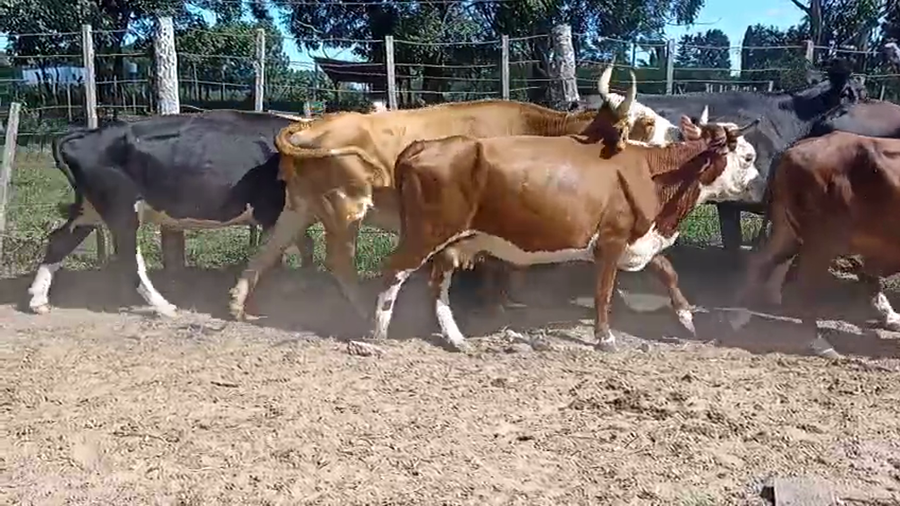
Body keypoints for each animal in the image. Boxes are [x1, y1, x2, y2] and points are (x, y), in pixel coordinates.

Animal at [26, 110, 317, 317]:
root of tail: (88, 133)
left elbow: (305, 245)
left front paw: (301, 284)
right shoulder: (274, 212)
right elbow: (274, 253)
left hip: (90, 208)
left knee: (60, 239)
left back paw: (38, 300)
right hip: (121, 208)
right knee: (129, 259)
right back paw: (165, 307)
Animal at [226, 65, 648, 320]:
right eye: (640, 124)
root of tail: (316, 123)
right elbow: (497, 264)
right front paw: (494, 304)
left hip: (300, 207)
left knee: (268, 250)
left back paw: (236, 303)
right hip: (345, 207)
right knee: (339, 262)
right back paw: (363, 310)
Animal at [371, 116, 761, 352]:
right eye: (748, 157)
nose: (758, 182)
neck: (654, 174)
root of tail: (425, 144)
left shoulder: (638, 238)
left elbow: (668, 272)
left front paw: (686, 318)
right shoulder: (611, 240)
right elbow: (603, 292)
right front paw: (604, 338)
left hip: (451, 241)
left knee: (438, 282)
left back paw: (455, 337)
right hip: (426, 232)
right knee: (393, 271)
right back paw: (378, 334)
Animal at [728, 131, 900, 359]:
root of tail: (793, 149)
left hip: (787, 230)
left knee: (760, 261)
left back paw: (738, 316)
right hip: (820, 241)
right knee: (804, 287)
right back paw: (822, 345)